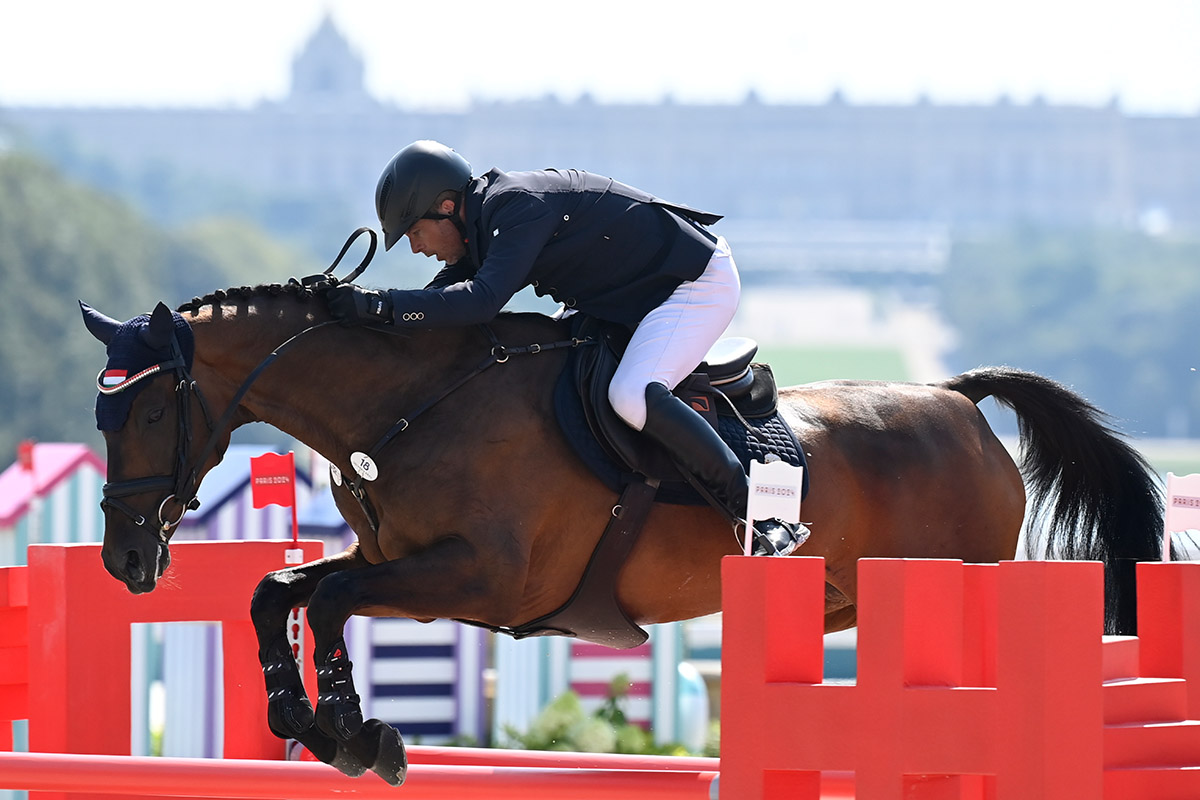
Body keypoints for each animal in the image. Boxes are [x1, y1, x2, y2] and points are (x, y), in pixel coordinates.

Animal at [77, 278, 1161, 786]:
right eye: (100, 414)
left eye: (147, 410)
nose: (125, 558)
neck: (414, 402)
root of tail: (957, 396)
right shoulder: (404, 564)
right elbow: (281, 591)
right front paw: (315, 724)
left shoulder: (483, 580)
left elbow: (333, 598)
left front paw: (357, 731)